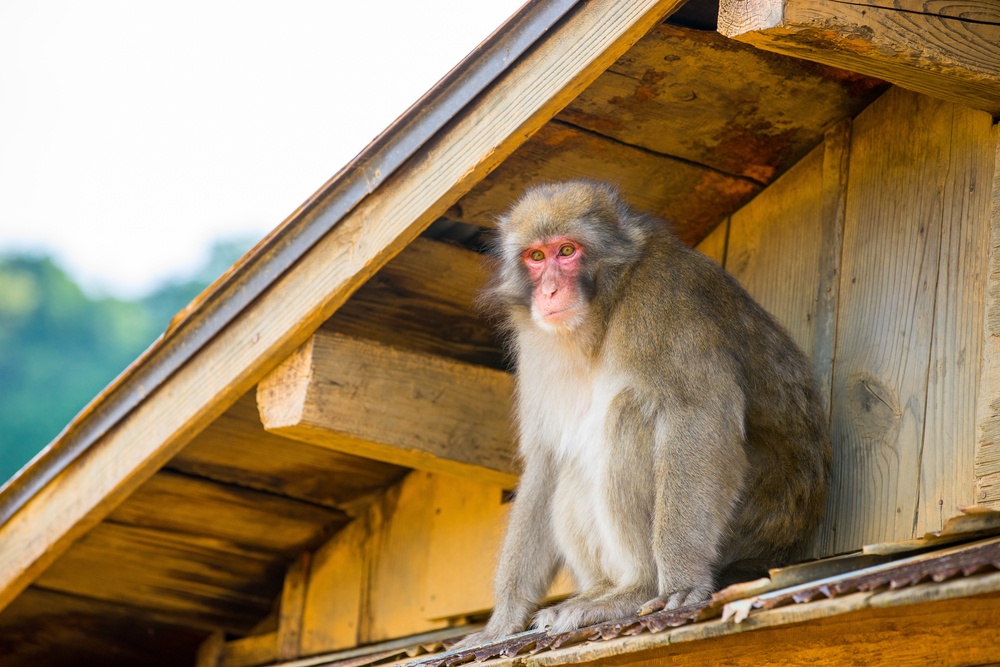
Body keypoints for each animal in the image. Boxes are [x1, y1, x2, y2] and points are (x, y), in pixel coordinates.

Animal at [458, 180, 828, 644]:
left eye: (567, 251)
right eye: (536, 257)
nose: (549, 292)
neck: (603, 313)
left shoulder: (663, 300)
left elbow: (697, 413)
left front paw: (682, 581)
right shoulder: (537, 348)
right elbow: (545, 460)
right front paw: (502, 621)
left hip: (744, 526)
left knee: (629, 413)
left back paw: (636, 589)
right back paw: (601, 589)